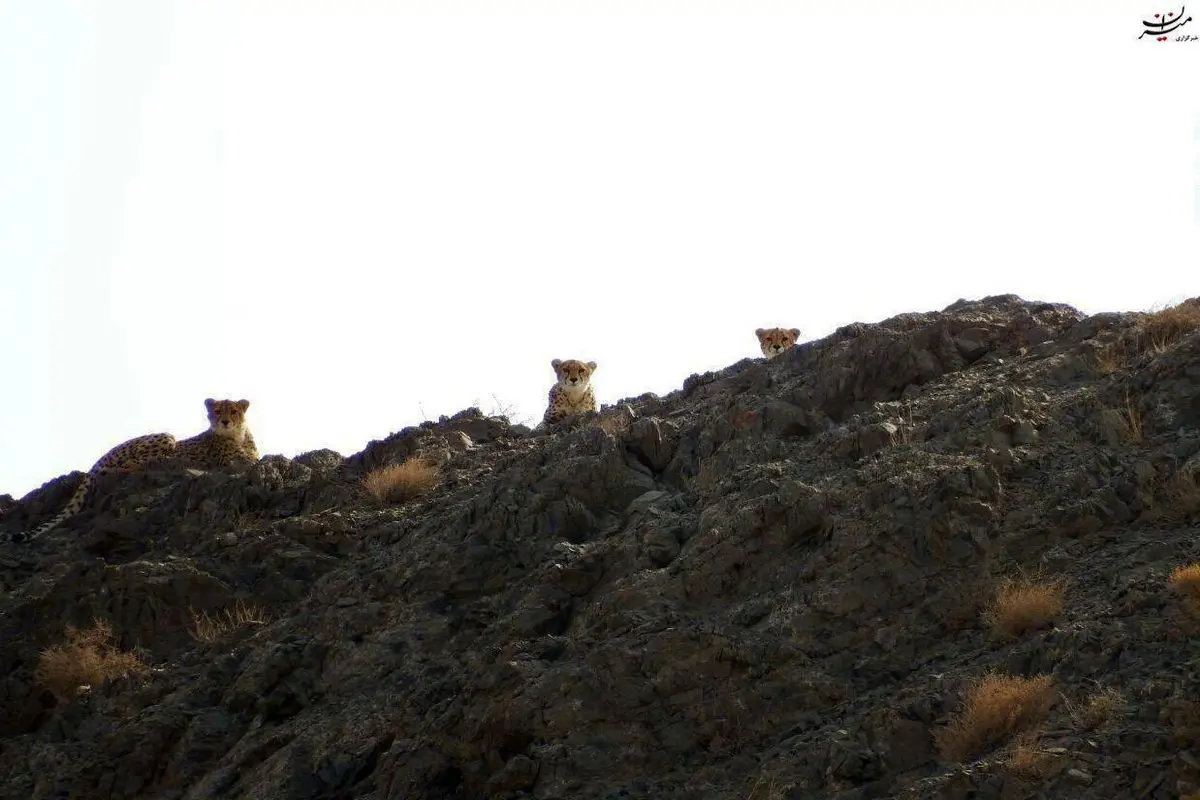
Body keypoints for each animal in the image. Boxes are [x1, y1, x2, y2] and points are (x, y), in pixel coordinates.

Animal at [1, 398, 259, 544]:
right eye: (217, 411)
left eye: (234, 411)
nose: (224, 421)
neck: (237, 434)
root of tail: (95, 463)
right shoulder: (234, 460)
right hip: (165, 438)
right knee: (125, 466)